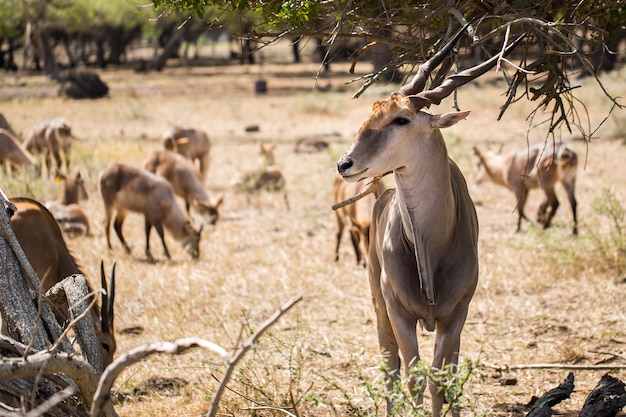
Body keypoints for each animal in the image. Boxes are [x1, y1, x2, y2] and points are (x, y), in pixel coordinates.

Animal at [334, 27, 520, 414]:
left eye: (400, 119)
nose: (345, 164)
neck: (432, 244)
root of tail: (381, 195)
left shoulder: (457, 315)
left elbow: (439, 380)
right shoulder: (398, 312)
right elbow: (413, 378)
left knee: (448, 373)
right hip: (379, 306)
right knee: (390, 367)